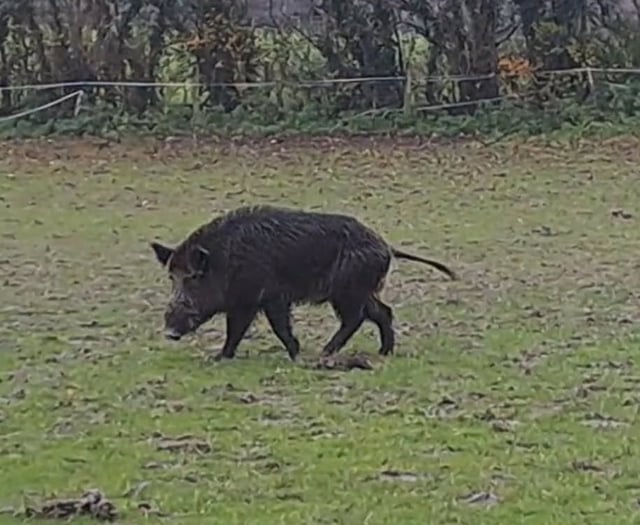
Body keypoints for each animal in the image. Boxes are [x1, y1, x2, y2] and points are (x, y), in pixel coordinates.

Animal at [150, 205, 455, 361]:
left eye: (193, 277)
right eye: (171, 278)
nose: (169, 332)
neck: (225, 260)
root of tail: (386, 246)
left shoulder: (261, 298)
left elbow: (255, 328)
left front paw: (219, 357)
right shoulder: (260, 300)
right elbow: (257, 328)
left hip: (347, 291)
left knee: (355, 318)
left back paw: (325, 352)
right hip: (360, 290)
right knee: (382, 311)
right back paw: (383, 352)